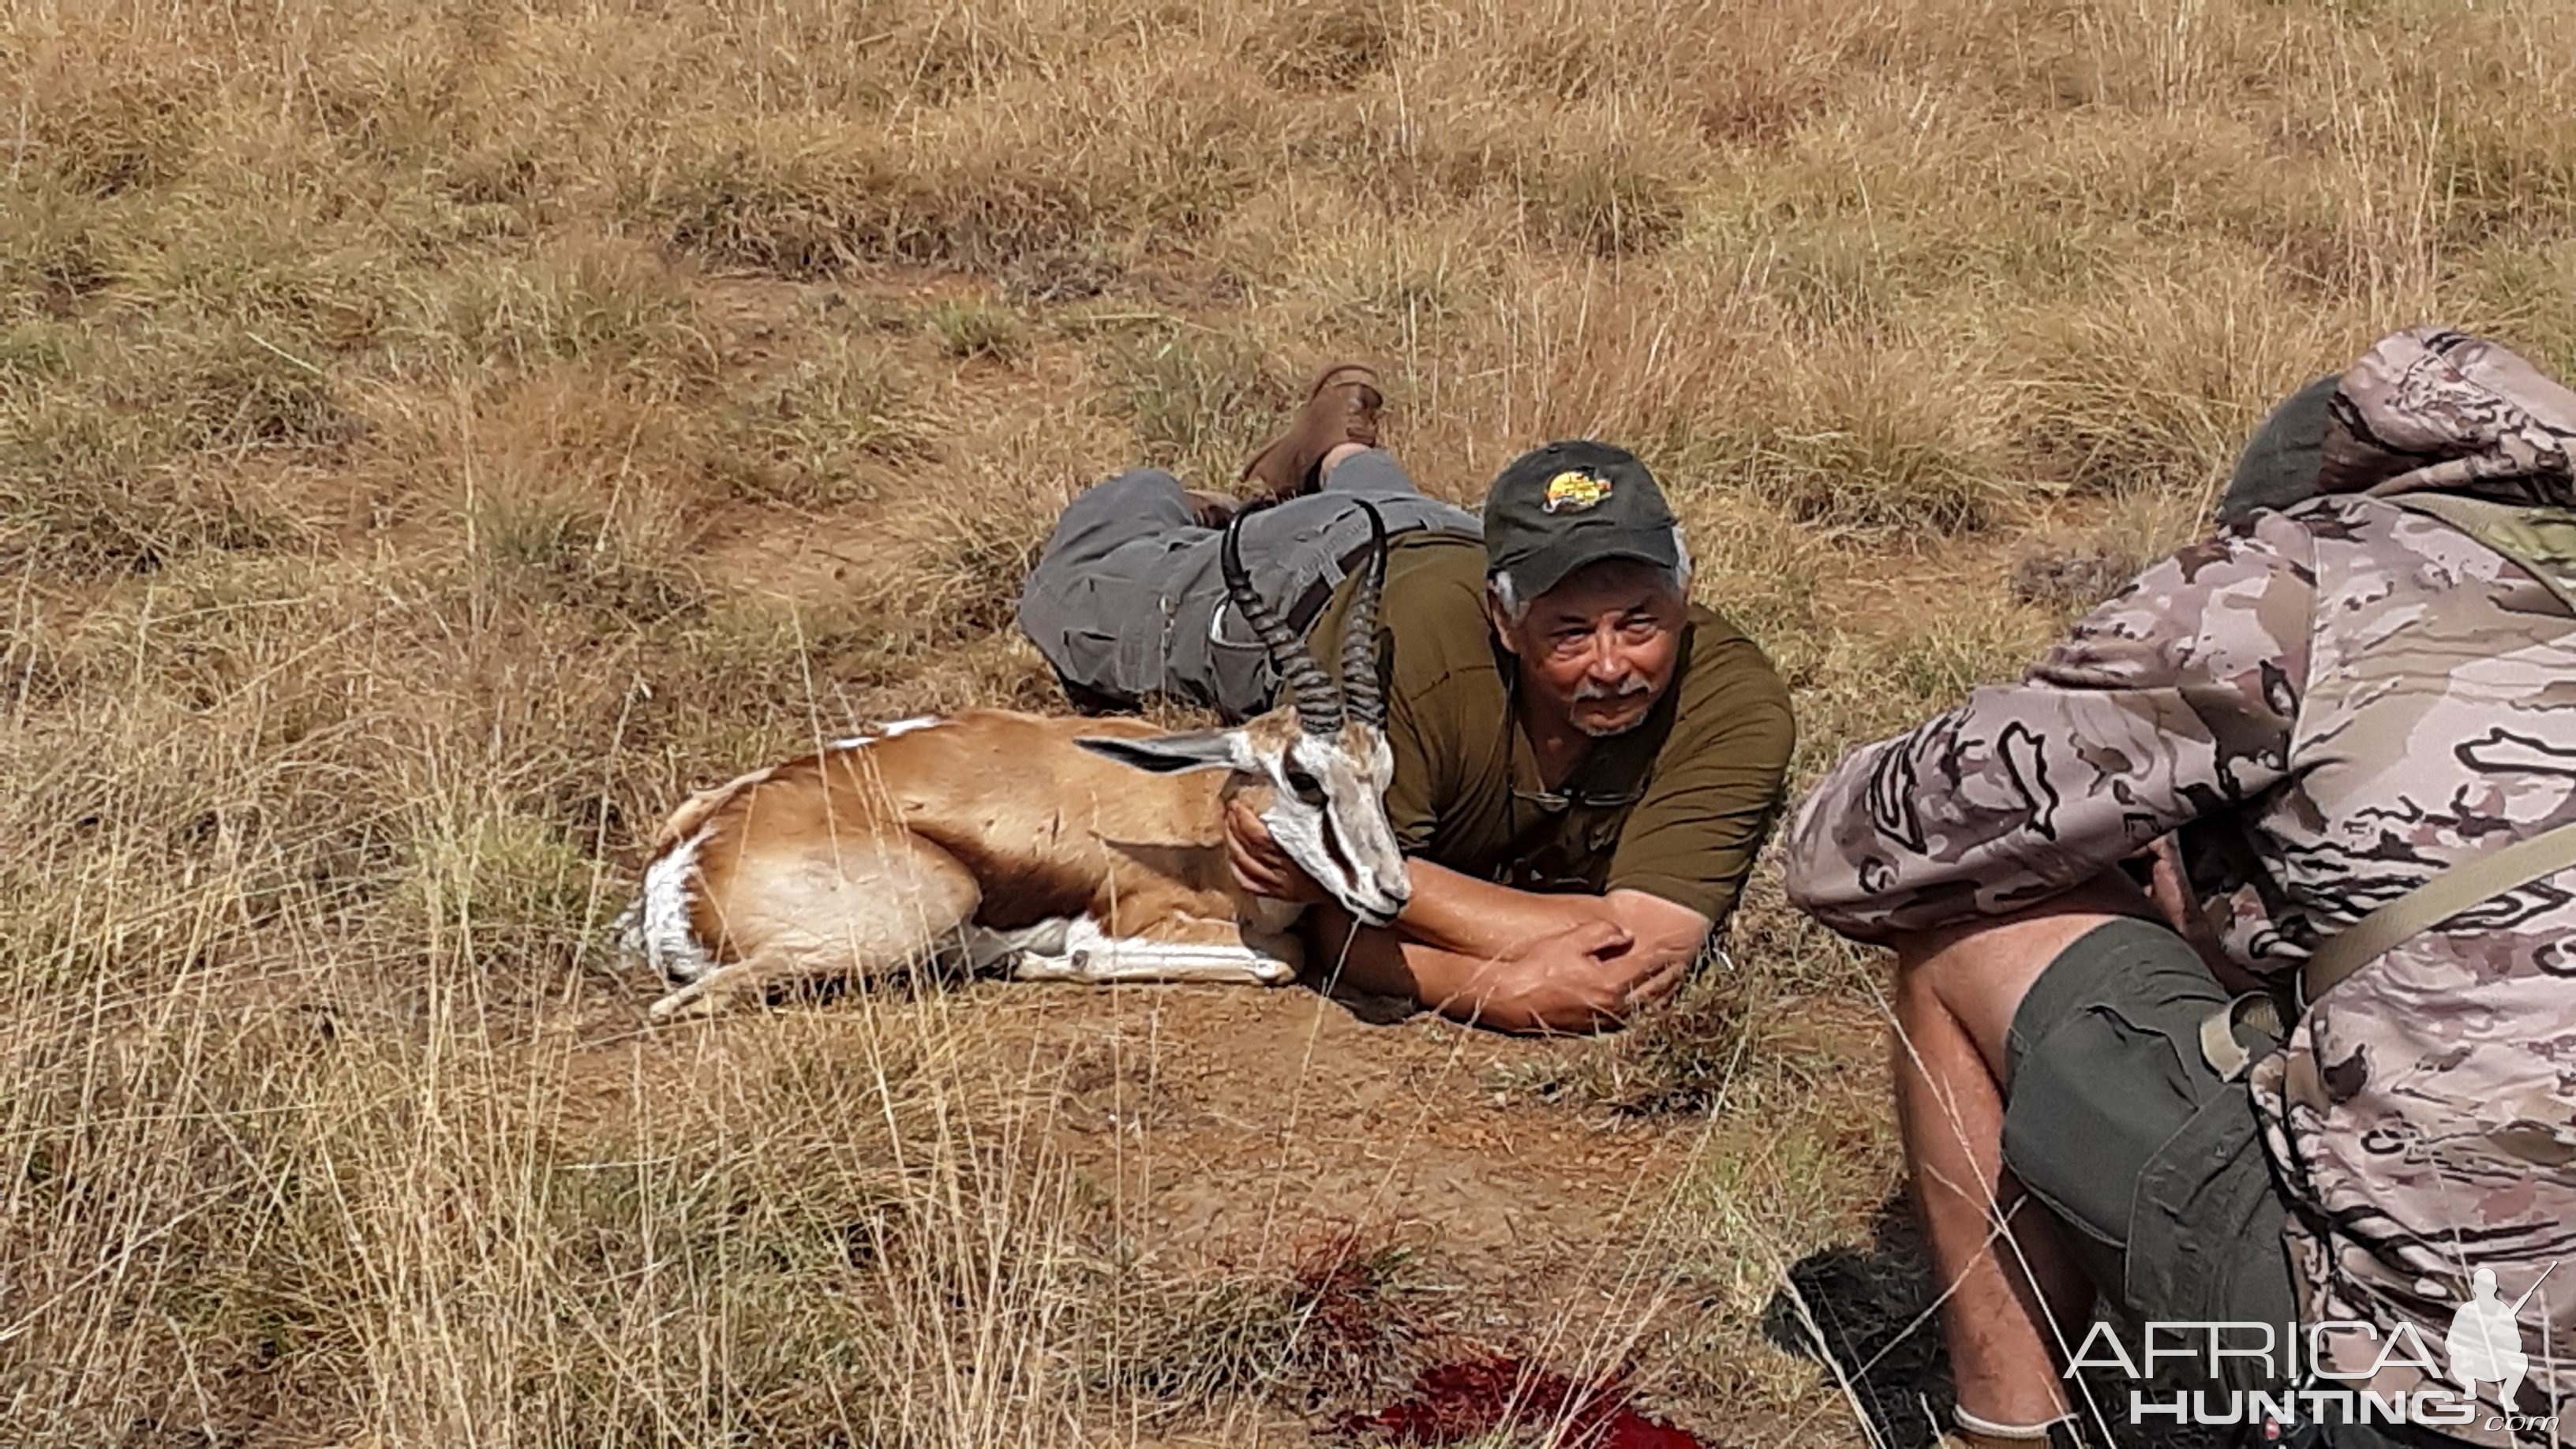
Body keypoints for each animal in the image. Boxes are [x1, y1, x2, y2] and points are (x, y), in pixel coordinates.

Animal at [618, 505, 1411, 1016]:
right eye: (1304, 779)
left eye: (1384, 774)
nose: (1394, 892)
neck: (1202, 822)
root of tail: (686, 865)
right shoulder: (1126, 920)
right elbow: (1281, 957)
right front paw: (1044, 959)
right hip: (932, 903)